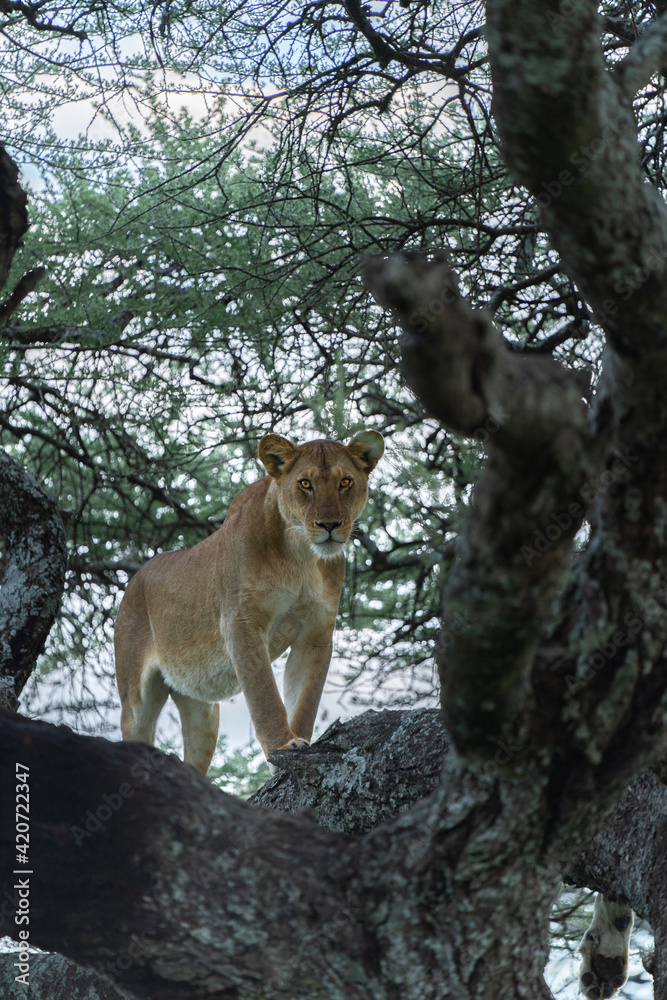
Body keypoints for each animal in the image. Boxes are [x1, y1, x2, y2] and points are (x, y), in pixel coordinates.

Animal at [114, 430, 384, 773]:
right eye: (305, 484)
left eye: (345, 482)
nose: (329, 525)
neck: (301, 554)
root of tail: (135, 578)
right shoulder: (241, 622)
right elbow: (263, 693)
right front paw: (283, 746)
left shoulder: (316, 634)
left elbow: (305, 699)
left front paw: (299, 746)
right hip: (135, 697)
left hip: (202, 711)